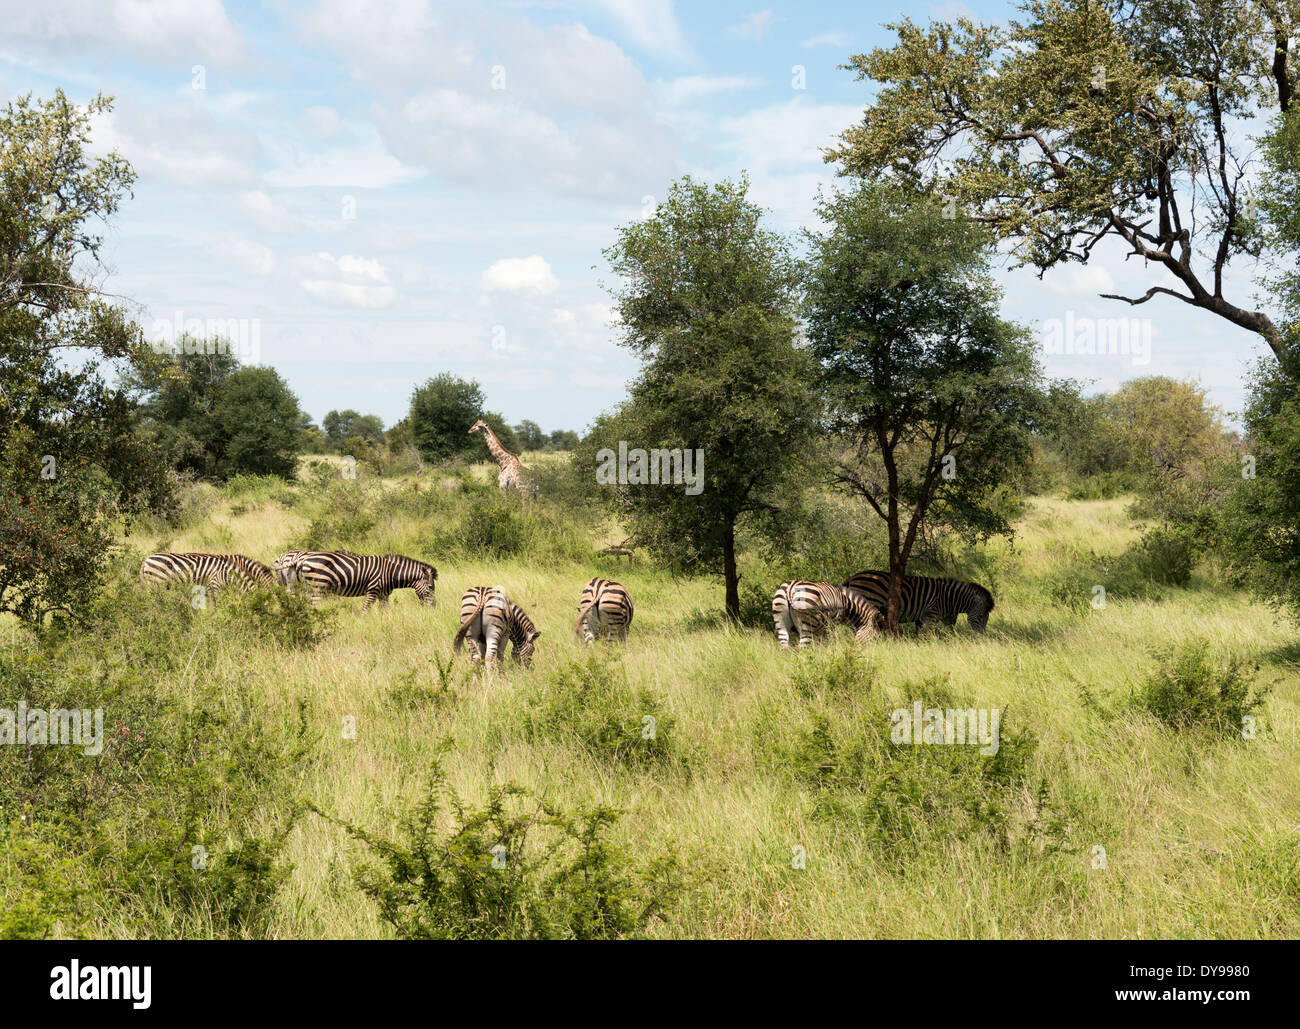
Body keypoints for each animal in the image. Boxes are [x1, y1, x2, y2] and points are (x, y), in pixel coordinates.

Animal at [292, 553, 439, 610]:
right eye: (430, 587)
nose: (433, 607)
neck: (390, 573)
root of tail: (303, 560)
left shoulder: (384, 595)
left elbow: (385, 611)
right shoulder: (373, 591)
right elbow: (365, 610)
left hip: (309, 588)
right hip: (318, 587)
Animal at [842, 566, 993, 631]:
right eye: (981, 617)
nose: (981, 638)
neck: (950, 598)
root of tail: (852, 577)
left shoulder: (925, 618)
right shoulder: (930, 615)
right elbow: (928, 635)